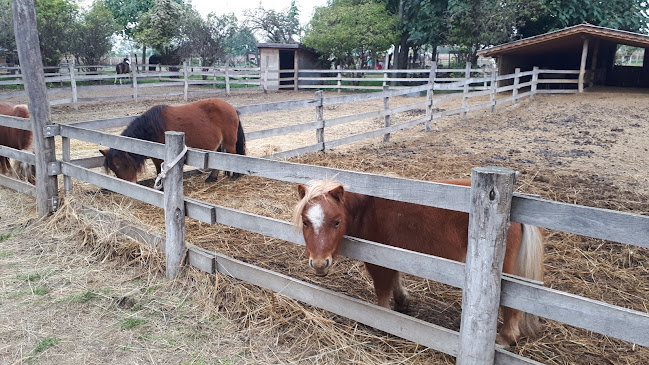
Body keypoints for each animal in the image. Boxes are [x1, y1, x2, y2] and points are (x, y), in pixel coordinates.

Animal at [101, 97, 246, 183]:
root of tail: (232, 108)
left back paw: (236, 176)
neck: (152, 128)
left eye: (121, 164)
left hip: (229, 142)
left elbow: (159, 172)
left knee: (233, 156)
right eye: (113, 168)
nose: (129, 185)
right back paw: (212, 177)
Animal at [292, 178, 540, 346]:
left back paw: (505, 338)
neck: (367, 210)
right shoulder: (395, 256)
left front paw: (383, 319)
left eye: (336, 221)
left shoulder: (379, 260)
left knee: (511, 307)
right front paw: (403, 302)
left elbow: (382, 290)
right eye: (305, 222)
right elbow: (396, 281)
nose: (319, 264)